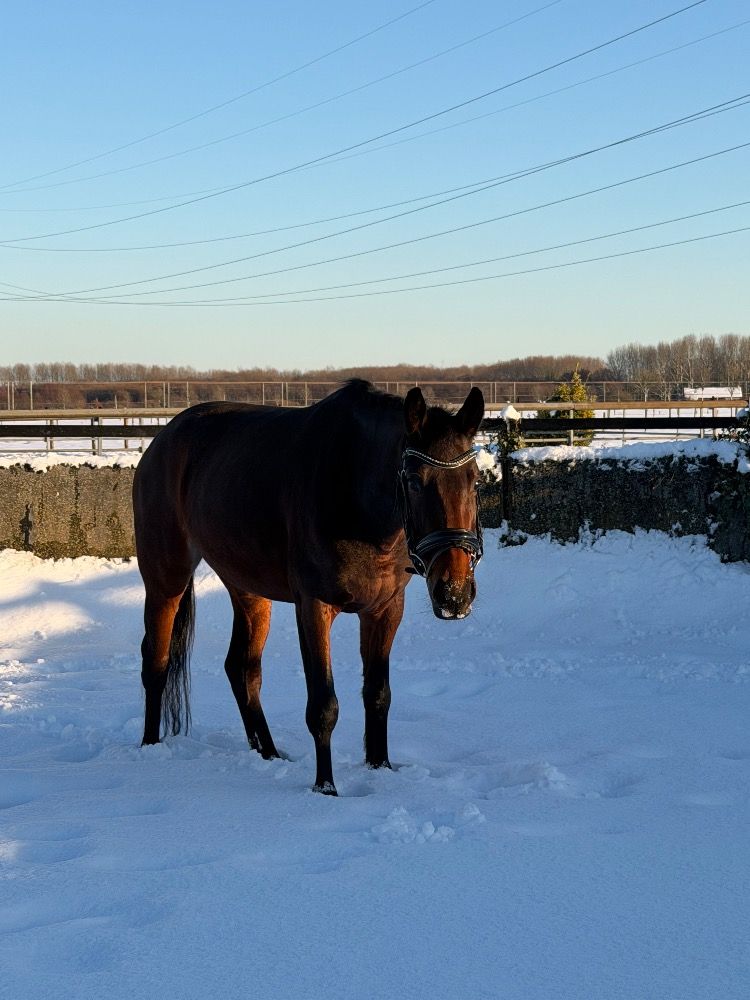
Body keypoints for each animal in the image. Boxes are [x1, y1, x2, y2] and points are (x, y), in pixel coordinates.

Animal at [132, 379, 484, 794]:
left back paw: (268, 753)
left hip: (247, 589)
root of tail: (160, 441)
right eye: (414, 481)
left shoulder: (384, 609)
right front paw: (325, 788)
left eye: (475, 478)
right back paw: (150, 747)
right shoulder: (313, 608)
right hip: (165, 578)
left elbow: (378, 695)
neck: (352, 488)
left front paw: (380, 768)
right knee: (156, 661)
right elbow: (323, 706)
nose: (454, 593)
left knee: (242, 668)